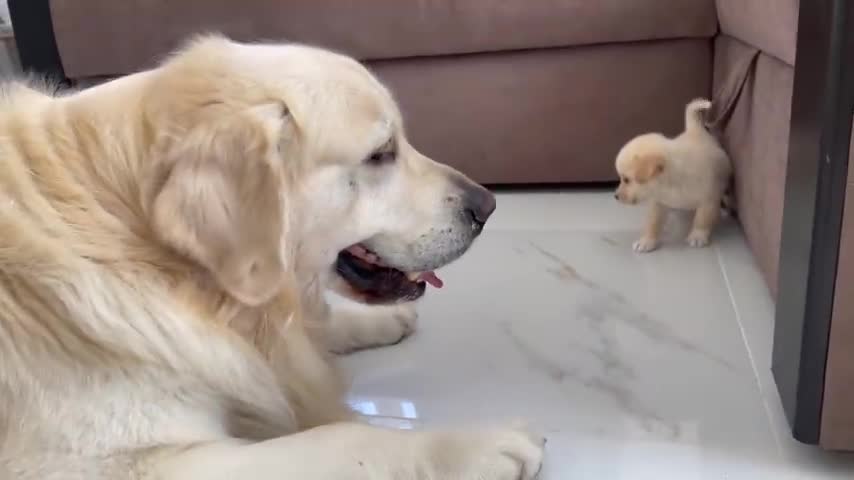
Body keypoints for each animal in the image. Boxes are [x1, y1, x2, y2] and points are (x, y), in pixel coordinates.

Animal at [616, 99, 736, 253]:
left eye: (626, 180)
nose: (615, 196)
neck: (670, 183)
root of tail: (695, 131)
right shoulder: (658, 203)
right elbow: (653, 223)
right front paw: (647, 240)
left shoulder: (708, 200)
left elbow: (702, 220)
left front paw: (697, 236)